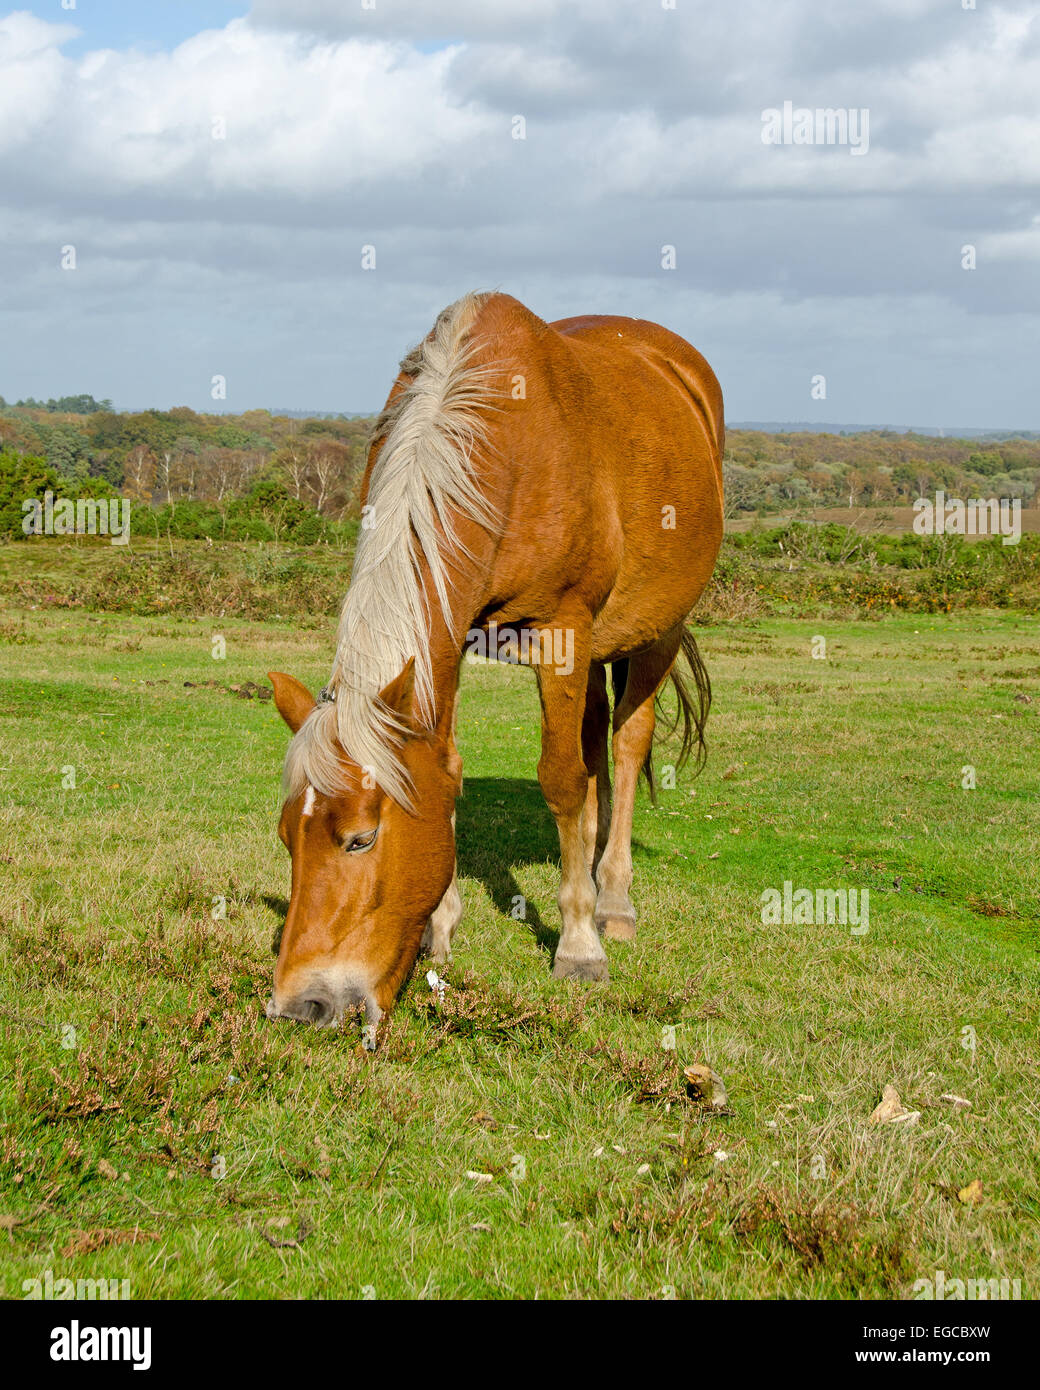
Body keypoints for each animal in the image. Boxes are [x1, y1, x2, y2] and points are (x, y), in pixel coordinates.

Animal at [265, 290, 722, 1034]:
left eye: (360, 839)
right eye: (286, 837)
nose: (302, 1005)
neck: (506, 450)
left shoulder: (564, 628)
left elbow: (562, 780)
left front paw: (578, 944)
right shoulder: (450, 640)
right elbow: (450, 769)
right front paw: (441, 926)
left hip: (654, 631)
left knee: (626, 745)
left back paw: (613, 899)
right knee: (595, 742)